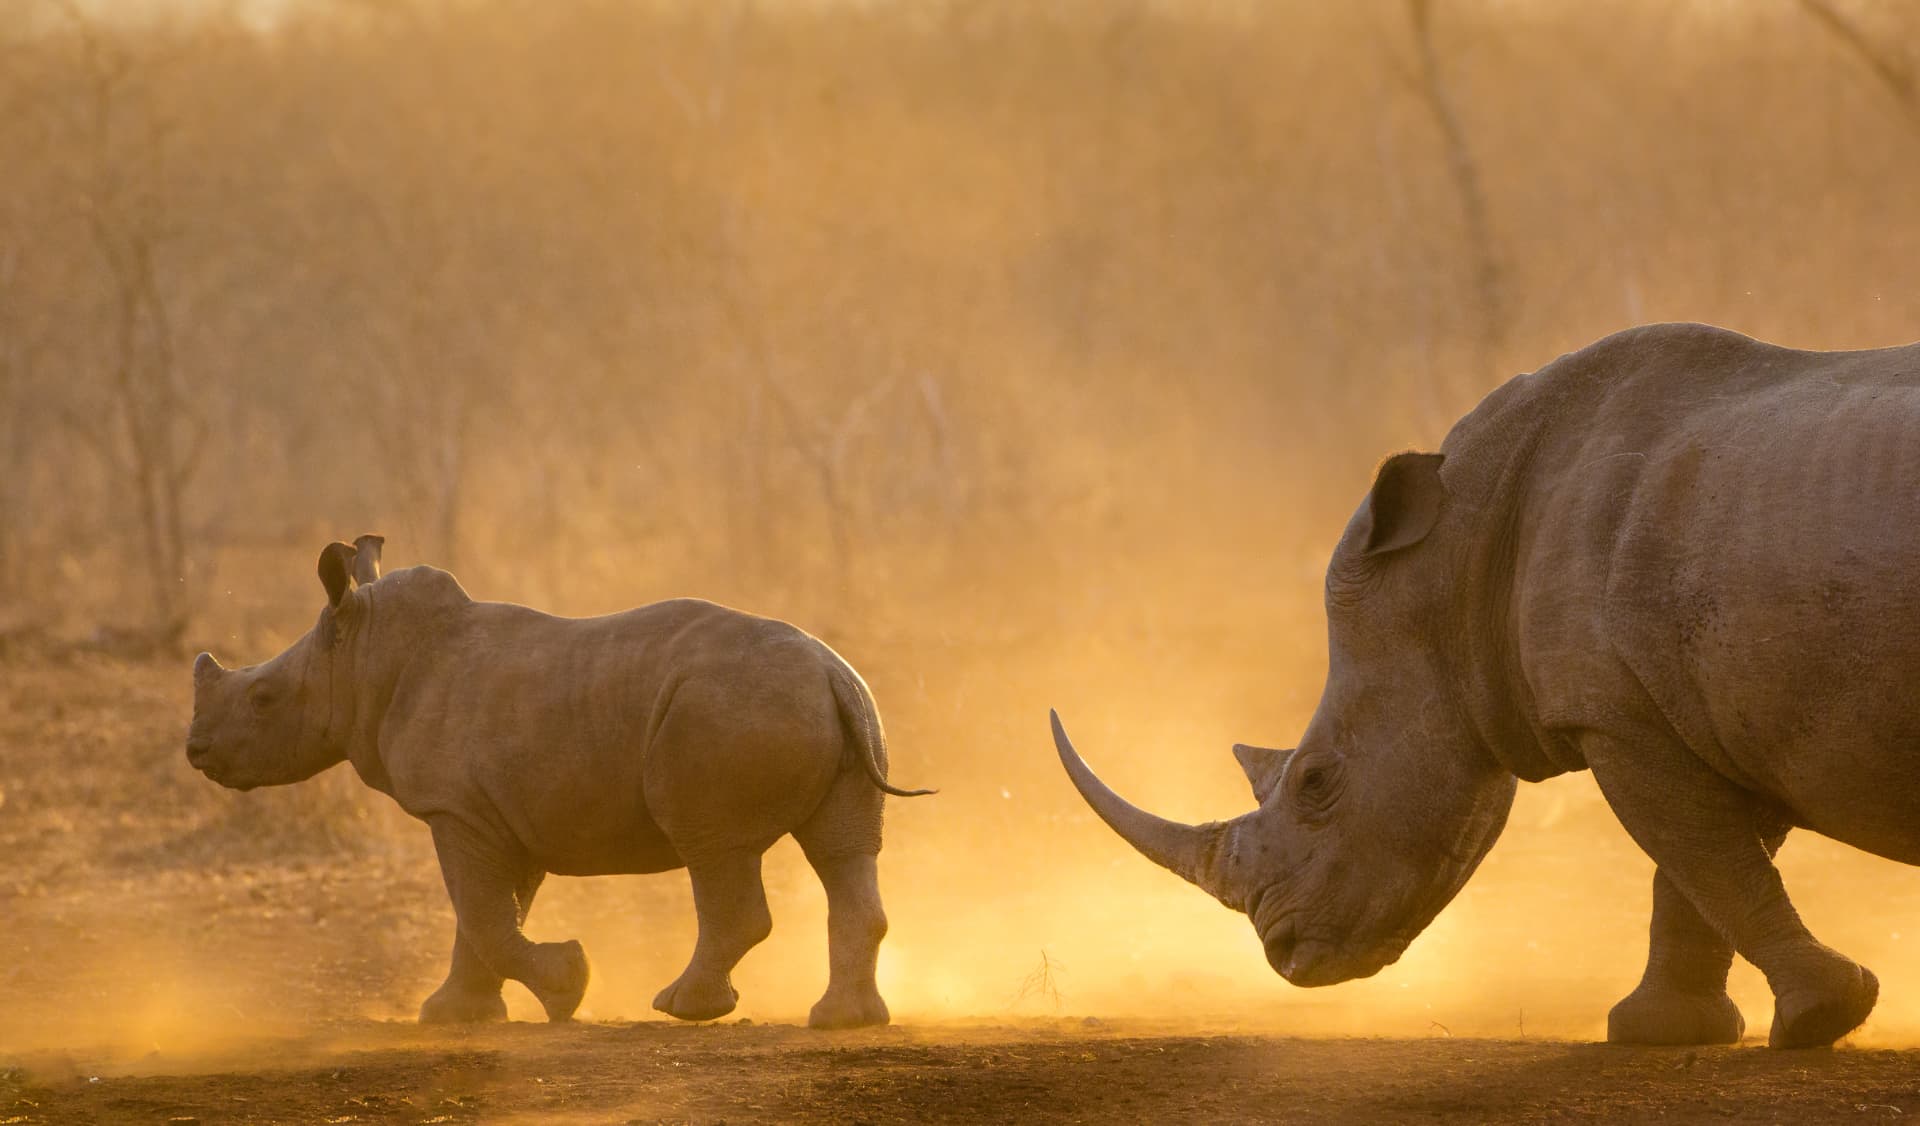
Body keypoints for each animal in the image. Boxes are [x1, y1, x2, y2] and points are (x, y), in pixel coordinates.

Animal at [187, 535, 929, 1029]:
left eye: (263, 699)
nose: (194, 750)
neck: (366, 654)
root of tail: (830, 672)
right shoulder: (500, 814)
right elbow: (487, 915)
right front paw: (454, 1015)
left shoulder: (456, 809)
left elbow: (483, 915)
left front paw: (568, 987)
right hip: (842, 705)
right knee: (843, 851)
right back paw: (845, 1021)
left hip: (725, 710)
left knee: (714, 847)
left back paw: (682, 1008)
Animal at [1053, 322, 1920, 1048]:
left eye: (1316, 782)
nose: (1286, 952)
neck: (1458, 557)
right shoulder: (1697, 712)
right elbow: (1701, 873)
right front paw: (1664, 1032)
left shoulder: (1621, 714)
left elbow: (1707, 861)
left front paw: (1821, 1018)